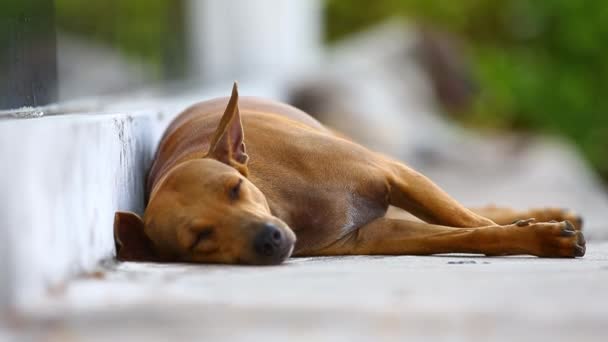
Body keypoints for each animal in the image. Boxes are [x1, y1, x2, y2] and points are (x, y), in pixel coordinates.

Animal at [113, 83, 584, 264]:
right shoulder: (373, 236)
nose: (270, 238)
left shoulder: (394, 174)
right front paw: (537, 236)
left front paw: (538, 230)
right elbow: (471, 233)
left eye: (235, 188)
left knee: (469, 206)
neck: (290, 205)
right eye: (199, 238)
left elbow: (469, 220)